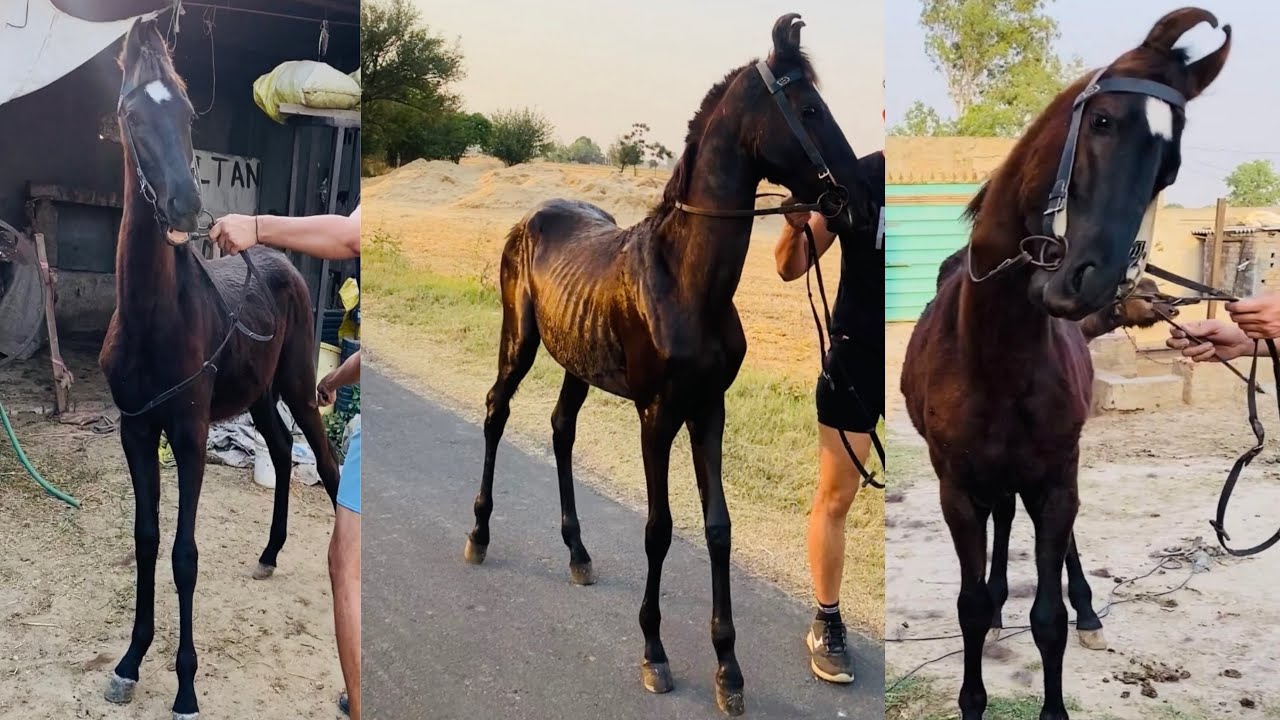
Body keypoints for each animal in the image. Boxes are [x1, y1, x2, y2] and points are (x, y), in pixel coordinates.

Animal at [99, 19, 340, 719]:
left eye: (185, 110)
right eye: (131, 113)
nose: (183, 204)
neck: (155, 320)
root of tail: (284, 263)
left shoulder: (189, 435)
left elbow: (184, 555)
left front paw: (185, 686)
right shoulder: (136, 430)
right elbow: (147, 540)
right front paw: (129, 662)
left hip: (297, 386)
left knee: (327, 463)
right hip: (258, 394)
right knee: (283, 450)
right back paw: (269, 553)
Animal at [461, 13, 879, 716]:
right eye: (809, 108)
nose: (856, 197)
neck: (685, 281)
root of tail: (534, 217)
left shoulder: (709, 411)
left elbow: (718, 529)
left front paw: (729, 671)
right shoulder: (656, 416)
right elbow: (659, 529)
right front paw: (655, 654)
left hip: (577, 365)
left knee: (561, 430)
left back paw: (578, 552)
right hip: (518, 341)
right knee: (496, 413)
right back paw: (480, 534)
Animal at [900, 8, 1229, 719]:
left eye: (1169, 165)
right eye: (1101, 122)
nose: (1091, 281)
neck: (995, 354)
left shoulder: (1055, 480)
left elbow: (1047, 617)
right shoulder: (955, 488)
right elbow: (969, 607)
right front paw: (976, 680)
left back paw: (1088, 611)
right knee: (1000, 530)